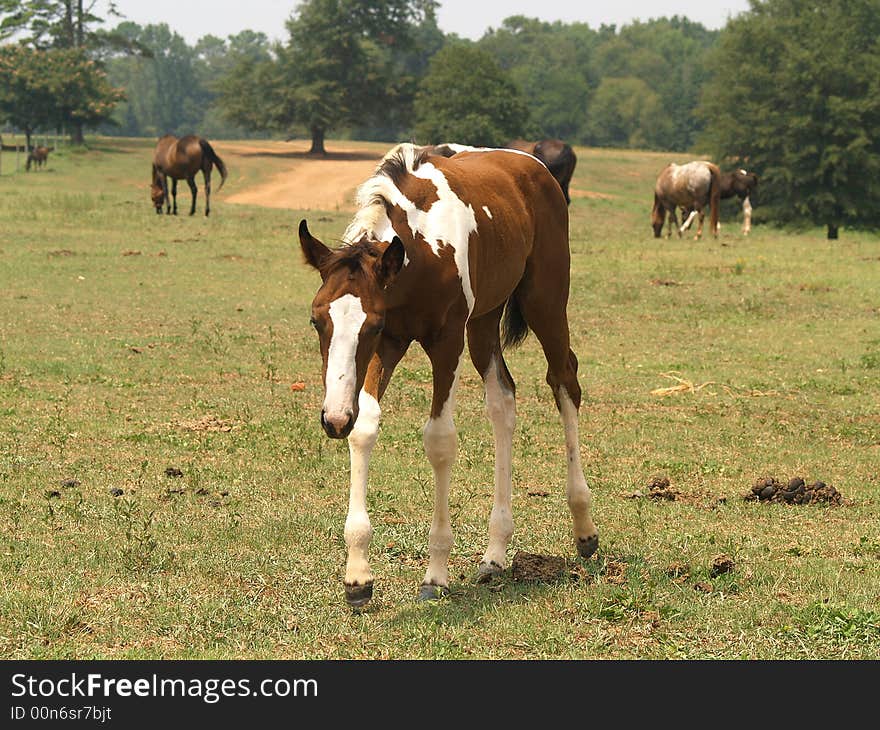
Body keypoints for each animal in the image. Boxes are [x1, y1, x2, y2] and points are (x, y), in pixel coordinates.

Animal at [300, 141, 600, 604]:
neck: (421, 249)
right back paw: (495, 553)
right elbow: (365, 428)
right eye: (317, 321)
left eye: (371, 325)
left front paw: (436, 573)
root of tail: (531, 165)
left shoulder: (442, 342)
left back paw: (584, 529)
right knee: (503, 401)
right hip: (485, 323)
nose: (333, 419)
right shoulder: (391, 345)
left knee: (565, 380)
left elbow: (440, 440)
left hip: (545, 300)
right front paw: (358, 575)